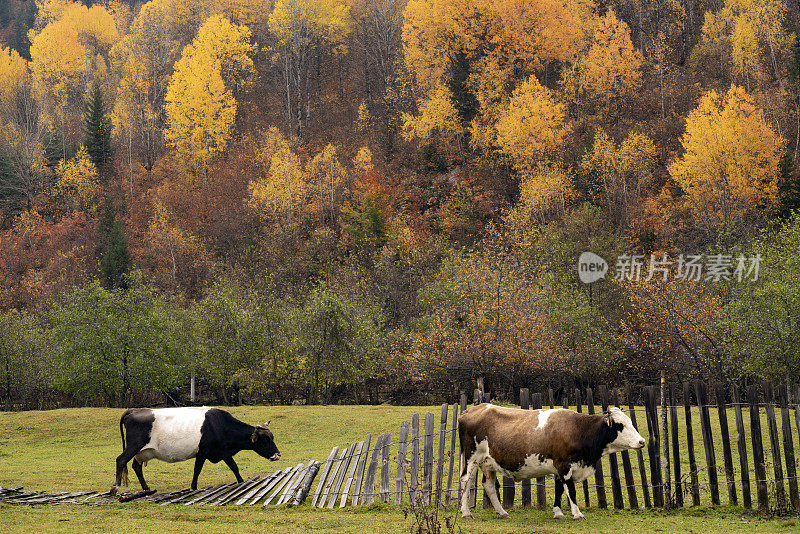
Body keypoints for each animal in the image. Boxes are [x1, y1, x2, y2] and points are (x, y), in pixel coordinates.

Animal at [111, 408, 282, 496]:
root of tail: (134, 410)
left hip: (141, 452)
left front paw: (241, 482)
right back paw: (115, 487)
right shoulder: (203, 452)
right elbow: (197, 469)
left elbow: (234, 467)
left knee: (136, 466)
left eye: (272, 437)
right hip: (133, 446)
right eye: (265, 439)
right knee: (121, 460)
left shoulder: (224, 452)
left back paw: (146, 488)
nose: (277, 454)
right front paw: (193, 487)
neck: (219, 424)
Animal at [456, 404, 644, 520]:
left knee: (488, 485)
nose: (642, 442)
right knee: (465, 481)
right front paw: (577, 514)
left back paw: (502, 512)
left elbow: (559, 489)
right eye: (620, 425)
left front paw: (558, 512)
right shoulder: (564, 465)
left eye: (630, 422)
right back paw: (465, 512)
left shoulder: (558, 468)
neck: (578, 429)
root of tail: (472, 409)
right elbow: (571, 491)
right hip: (471, 458)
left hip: (489, 463)